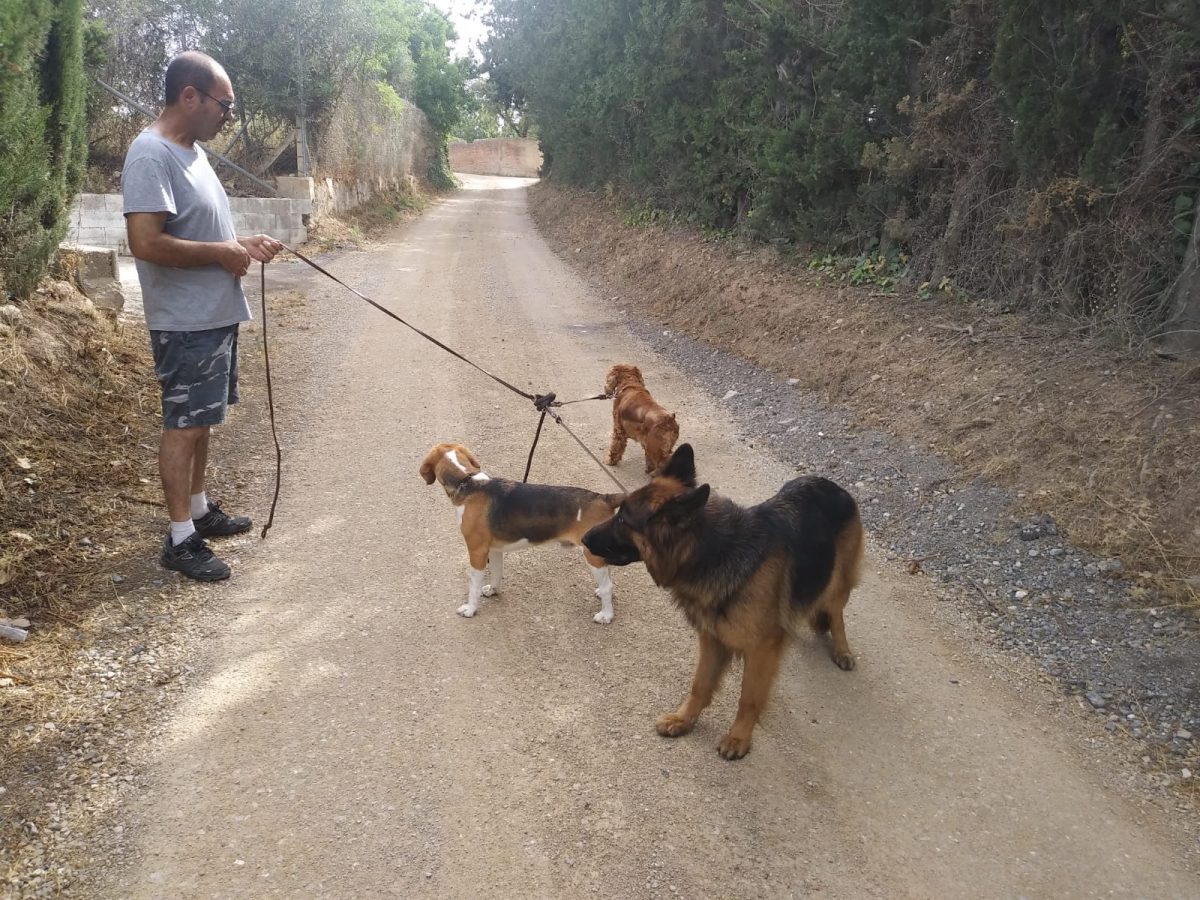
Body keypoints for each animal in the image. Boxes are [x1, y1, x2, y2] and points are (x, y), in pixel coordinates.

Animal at [420, 444, 628, 628]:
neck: (467, 480)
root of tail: (603, 498)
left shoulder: (477, 551)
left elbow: (473, 585)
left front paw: (470, 609)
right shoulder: (494, 550)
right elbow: (496, 573)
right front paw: (493, 590)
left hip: (591, 553)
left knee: (607, 585)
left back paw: (606, 615)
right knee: (608, 580)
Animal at [583, 444, 859, 763]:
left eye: (623, 521)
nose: (584, 537)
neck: (712, 552)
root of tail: (832, 485)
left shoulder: (762, 649)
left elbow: (749, 697)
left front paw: (739, 737)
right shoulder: (712, 637)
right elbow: (700, 685)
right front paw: (684, 720)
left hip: (837, 583)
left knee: (837, 613)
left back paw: (842, 649)